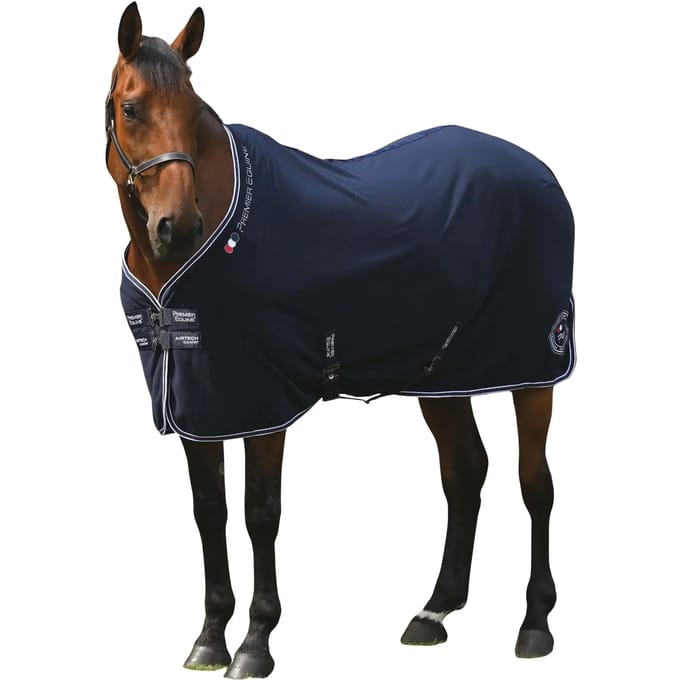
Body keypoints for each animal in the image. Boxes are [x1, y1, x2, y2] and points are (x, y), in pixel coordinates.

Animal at [106, 3, 575, 677]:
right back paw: (434, 612)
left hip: (534, 369)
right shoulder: (199, 404)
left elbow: (260, 513)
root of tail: (540, 173)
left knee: (535, 483)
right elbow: (209, 512)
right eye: (132, 107)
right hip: (444, 377)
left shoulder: (261, 402)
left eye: (194, 108)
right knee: (466, 472)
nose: (178, 226)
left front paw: (255, 642)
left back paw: (535, 624)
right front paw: (210, 637)